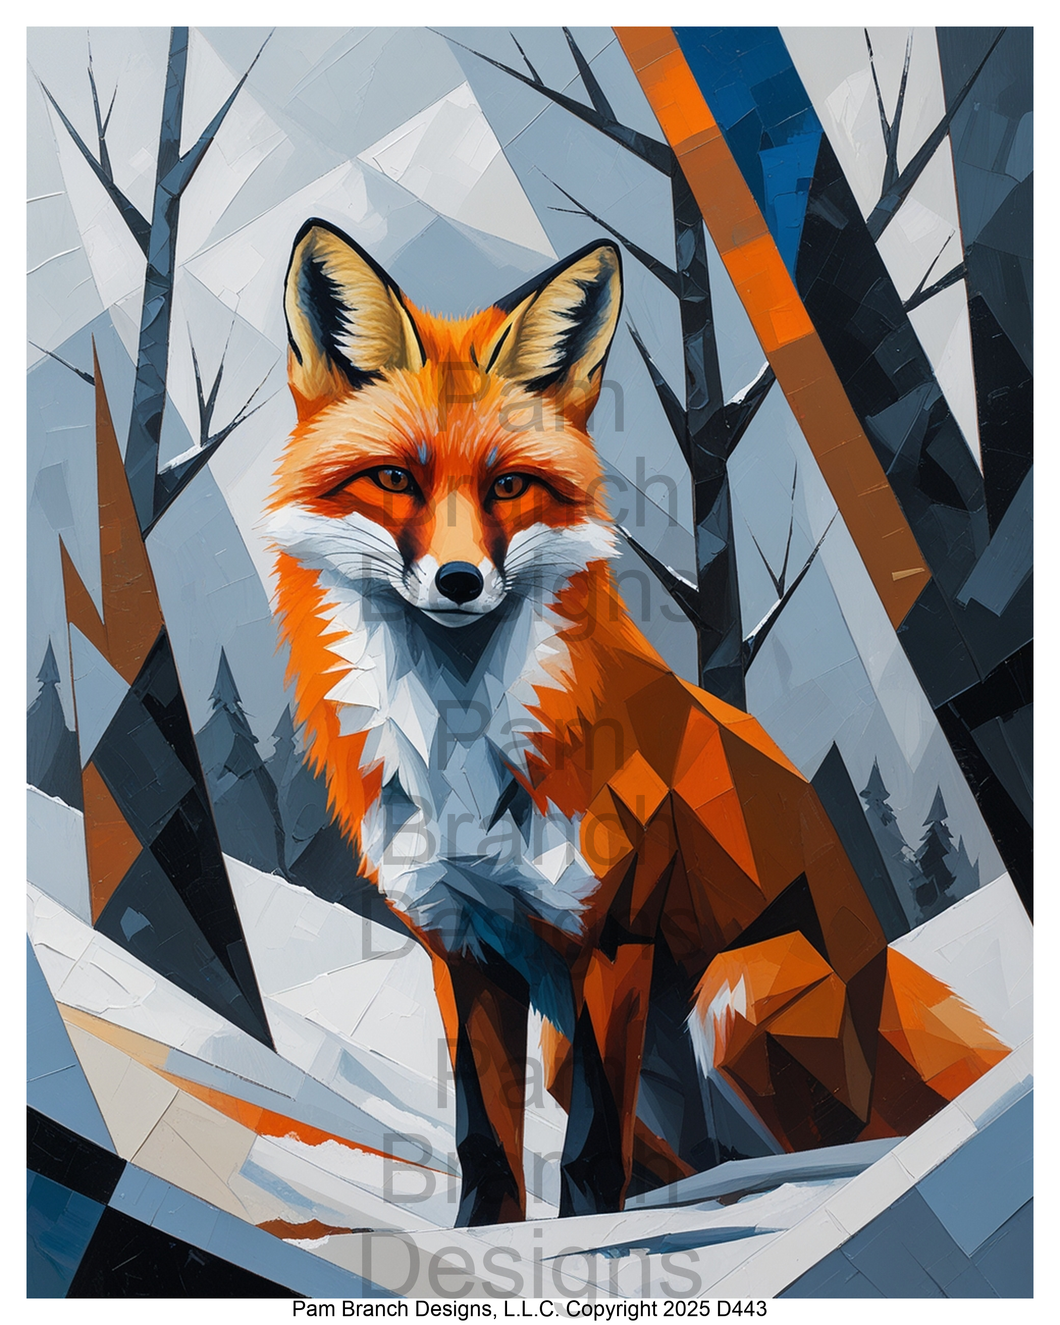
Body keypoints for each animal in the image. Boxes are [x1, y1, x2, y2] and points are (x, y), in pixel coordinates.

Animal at [267, 219, 1009, 1227]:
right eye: (392, 479)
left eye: (509, 487)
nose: (459, 581)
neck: (459, 744)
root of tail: (878, 981)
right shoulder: (461, 946)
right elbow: (483, 1137)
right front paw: (479, 1243)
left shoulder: (609, 936)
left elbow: (588, 1147)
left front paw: (585, 1242)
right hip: (591, 1047)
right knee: (693, 1159)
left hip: (734, 998)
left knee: (845, 1142)